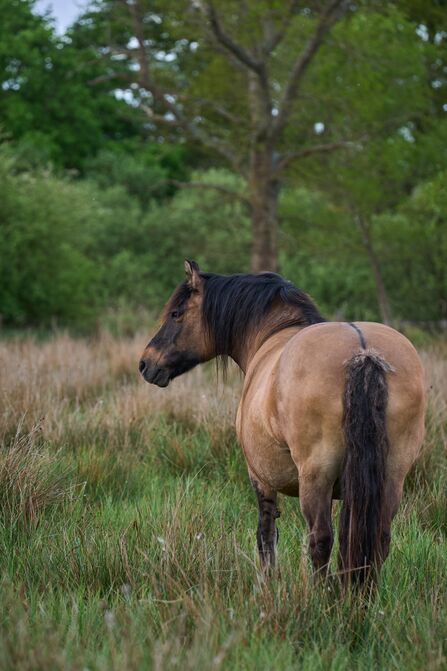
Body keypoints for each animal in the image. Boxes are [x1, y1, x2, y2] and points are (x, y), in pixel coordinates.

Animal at [139, 260, 426, 587]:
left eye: (176, 314)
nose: (145, 363)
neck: (272, 333)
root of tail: (364, 352)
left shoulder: (260, 478)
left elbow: (266, 535)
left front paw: (268, 583)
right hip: (391, 475)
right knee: (376, 539)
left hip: (316, 477)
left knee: (320, 540)